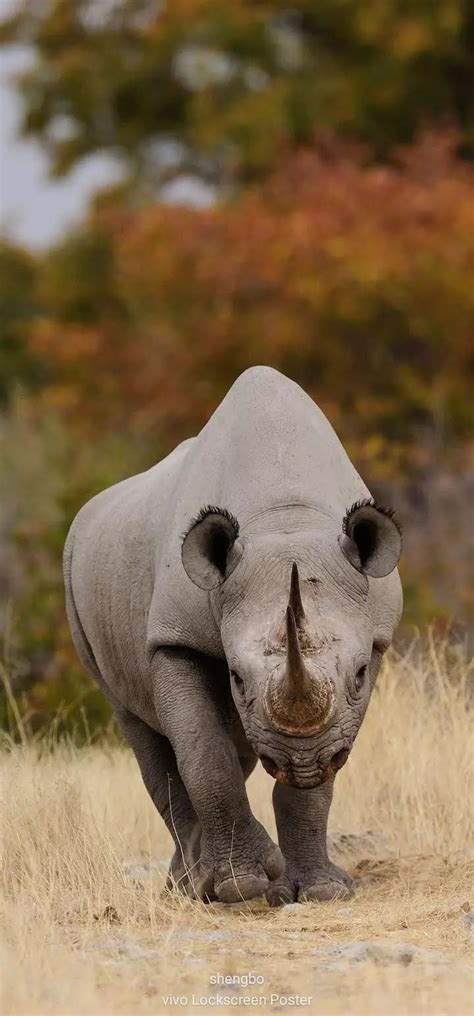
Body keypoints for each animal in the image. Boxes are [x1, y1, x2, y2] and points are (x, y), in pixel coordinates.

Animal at [64, 367, 402, 905]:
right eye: (237, 677)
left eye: (359, 674)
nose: (302, 760)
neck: (286, 519)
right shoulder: (174, 636)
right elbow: (206, 755)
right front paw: (242, 885)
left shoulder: (374, 636)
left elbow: (316, 780)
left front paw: (321, 891)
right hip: (78, 583)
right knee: (143, 732)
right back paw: (193, 887)